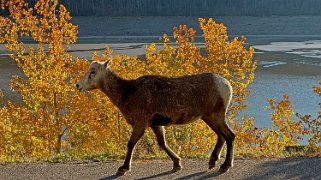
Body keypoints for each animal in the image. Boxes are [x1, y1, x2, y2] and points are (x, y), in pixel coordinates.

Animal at [76, 60, 234, 176]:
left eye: (93, 72)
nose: (78, 85)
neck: (127, 93)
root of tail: (227, 85)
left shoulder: (141, 124)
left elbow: (130, 144)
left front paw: (123, 168)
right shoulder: (156, 125)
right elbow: (162, 143)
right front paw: (177, 164)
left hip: (216, 115)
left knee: (229, 136)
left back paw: (225, 166)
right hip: (208, 117)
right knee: (221, 136)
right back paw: (212, 162)